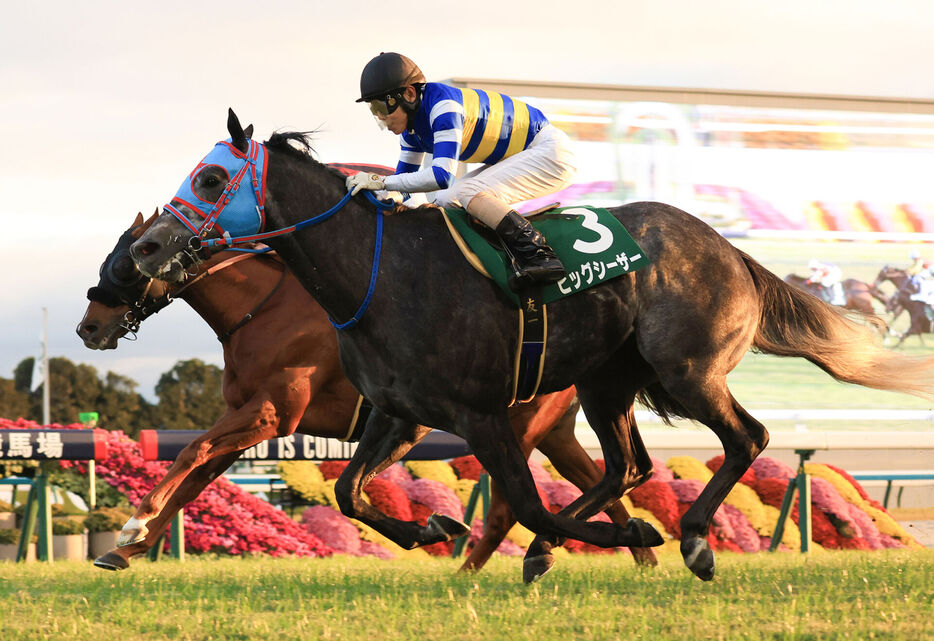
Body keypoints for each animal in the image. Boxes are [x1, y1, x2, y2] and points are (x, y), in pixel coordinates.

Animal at [77, 214, 660, 568]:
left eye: (127, 262)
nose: (89, 327)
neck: (263, 309)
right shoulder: (245, 417)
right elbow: (196, 476)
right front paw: (127, 548)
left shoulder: (272, 413)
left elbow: (192, 452)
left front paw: (133, 527)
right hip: (554, 431)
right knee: (606, 479)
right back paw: (635, 551)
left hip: (512, 427)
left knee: (510, 507)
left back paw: (485, 566)